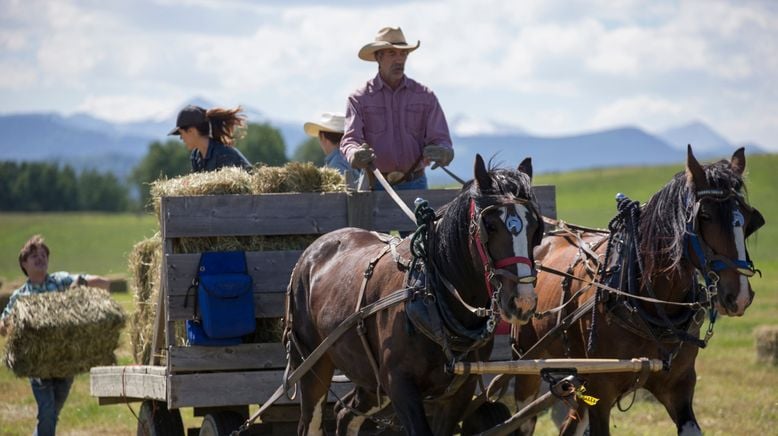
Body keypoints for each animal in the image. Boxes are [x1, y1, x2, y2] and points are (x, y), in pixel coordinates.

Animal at [286, 155, 544, 434]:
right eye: (490, 226)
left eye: (534, 228)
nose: (522, 301)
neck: (434, 301)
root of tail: (311, 252)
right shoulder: (399, 385)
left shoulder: (459, 392)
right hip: (314, 367)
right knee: (310, 421)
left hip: (370, 380)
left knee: (345, 413)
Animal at [512, 146, 760, 436]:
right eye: (705, 216)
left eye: (748, 218)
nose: (740, 296)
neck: (647, 303)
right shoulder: (601, 391)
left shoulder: (679, 386)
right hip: (528, 367)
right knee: (523, 420)